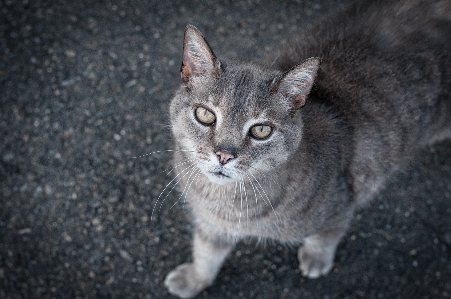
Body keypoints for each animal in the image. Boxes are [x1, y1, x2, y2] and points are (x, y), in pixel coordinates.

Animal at [162, 0, 451, 298]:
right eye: (205, 115)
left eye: (261, 130)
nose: (224, 155)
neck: (222, 202)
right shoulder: (212, 225)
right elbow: (206, 254)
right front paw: (194, 279)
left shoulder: (340, 208)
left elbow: (326, 237)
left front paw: (317, 258)